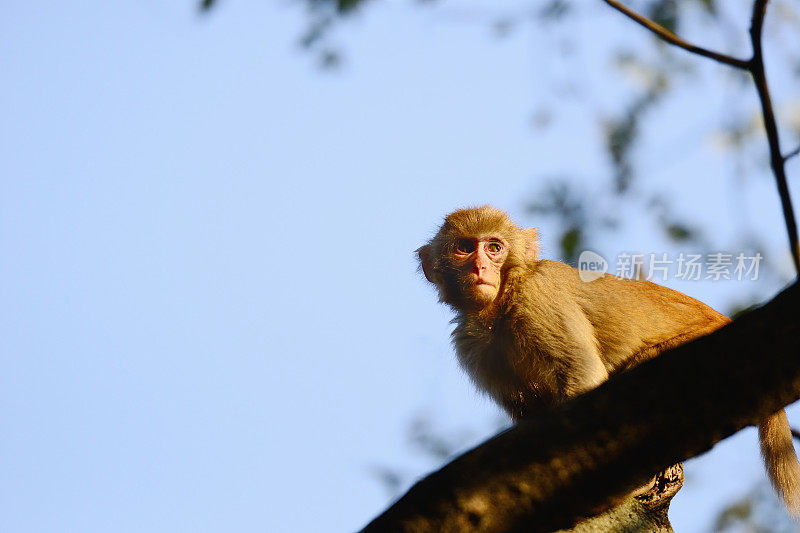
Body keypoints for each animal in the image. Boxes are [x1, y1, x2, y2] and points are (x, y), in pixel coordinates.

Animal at [418, 205, 800, 516]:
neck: (501, 302)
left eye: (494, 248)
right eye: (465, 247)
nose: (480, 266)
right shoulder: (472, 346)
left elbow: (581, 375)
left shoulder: (537, 296)